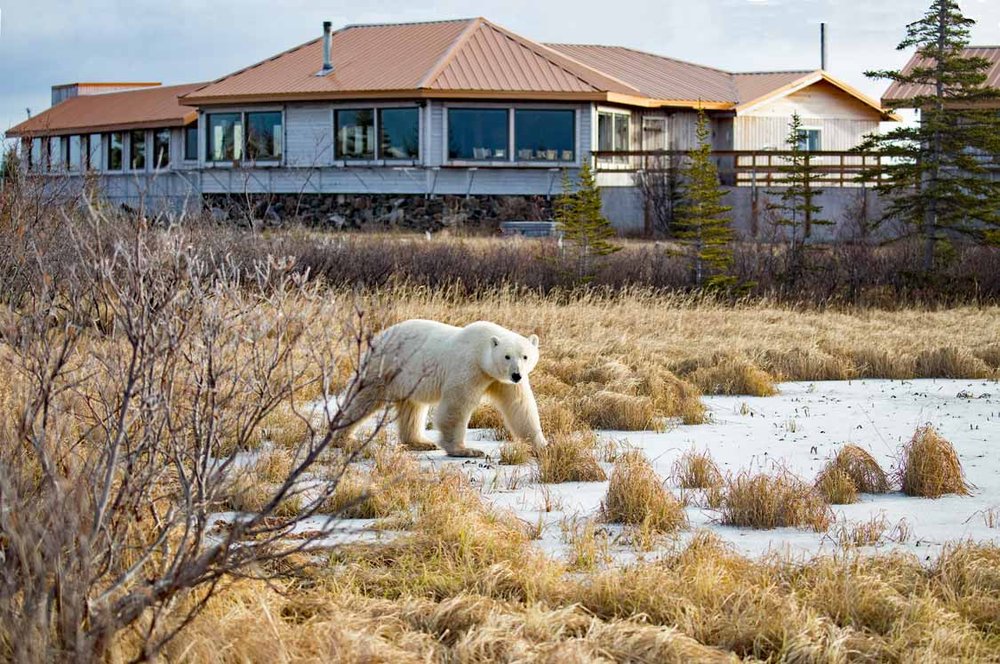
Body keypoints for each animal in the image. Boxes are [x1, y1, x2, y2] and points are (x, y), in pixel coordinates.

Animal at [338, 319, 546, 457]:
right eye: (506, 356)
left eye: (525, 356)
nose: (516, 375)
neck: (481, 351)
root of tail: (379, 337)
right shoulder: (469, 367)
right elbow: (457, 404)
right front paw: (466, 450)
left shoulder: (501, 381)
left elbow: (520, 406)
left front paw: (542, 446)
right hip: (385, 366)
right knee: (364, 398)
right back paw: (344, 437)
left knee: (412, 408)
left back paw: (420, 442)